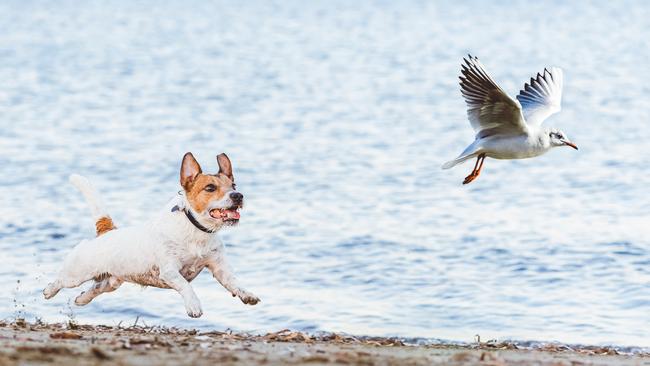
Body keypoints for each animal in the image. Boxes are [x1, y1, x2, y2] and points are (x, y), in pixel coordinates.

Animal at [43, 152, 258, 318]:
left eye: (234, 186)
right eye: (210, 188)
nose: (238, 196)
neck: (197, 229)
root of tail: (106, 231)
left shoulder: (220, 268)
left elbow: (233, 282)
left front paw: (246, 294)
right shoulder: (170, 270)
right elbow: (185, 286)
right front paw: (194, 305)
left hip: (111, 282)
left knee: (95, 289)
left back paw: (81, 299)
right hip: (76, 274)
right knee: (60, 280)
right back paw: (48, 291)